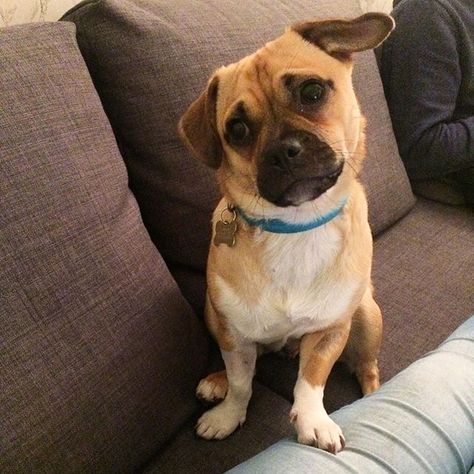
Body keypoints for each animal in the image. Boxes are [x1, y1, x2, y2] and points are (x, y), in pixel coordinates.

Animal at [180, 12, 394, 454]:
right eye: (237, 130)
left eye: (312, 92)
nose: (283, 150)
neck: (295, 227)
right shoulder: (233, 334)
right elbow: (242, 383)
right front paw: (228, 413)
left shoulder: (330, 331)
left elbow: (311, 380)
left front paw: (314, 420)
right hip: (214, 314)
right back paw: (216, 381)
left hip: (366, 317)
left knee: (367, 366)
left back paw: (373, 395)